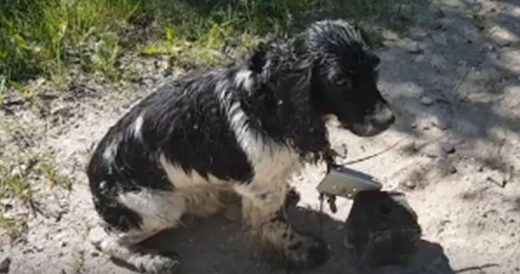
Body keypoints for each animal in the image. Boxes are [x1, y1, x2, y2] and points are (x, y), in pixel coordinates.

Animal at [86, 18, 394, 272]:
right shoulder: (265, 189)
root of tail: (93, 176)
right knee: (102, 238)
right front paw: (302, 250)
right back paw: (151, 259)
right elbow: (277, 223)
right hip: (161, 206)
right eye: (340, 80)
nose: (388, 119)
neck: (265, 100)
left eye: (375, 67)